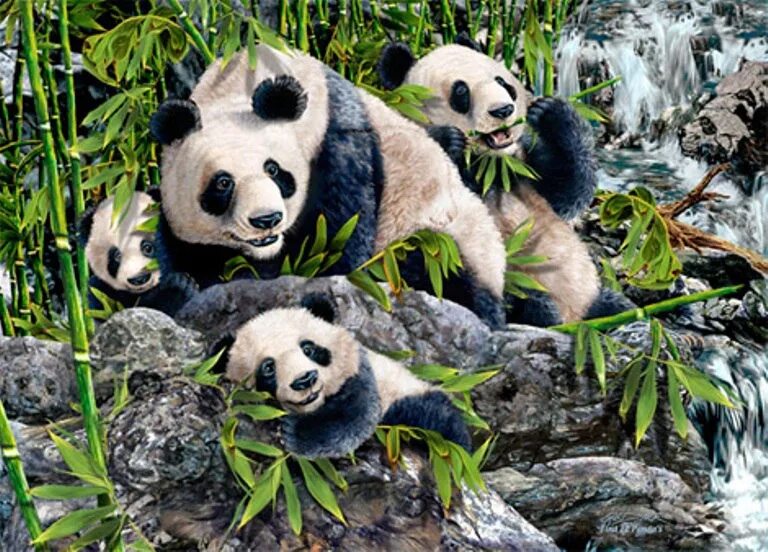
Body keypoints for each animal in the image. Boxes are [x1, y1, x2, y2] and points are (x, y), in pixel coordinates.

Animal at [149, 44, 507, 328]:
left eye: (274, 170)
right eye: (223, 183)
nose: (266, 220)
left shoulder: (338, 143)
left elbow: (339, 243)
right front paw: (183, 286)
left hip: (441, 238)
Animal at [215, 293, 472, 458]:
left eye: (308, 348)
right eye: (268, 368)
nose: (304, 380)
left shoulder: (359, 371)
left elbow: (354, 415)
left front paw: (295, 433)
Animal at [378, 39, 634, 325]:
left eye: (502, 82)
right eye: (461, 92)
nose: (503, 110)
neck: (486, 164)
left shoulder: (520, 171)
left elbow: (566, 189)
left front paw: (549, 112)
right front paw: (448, 139)